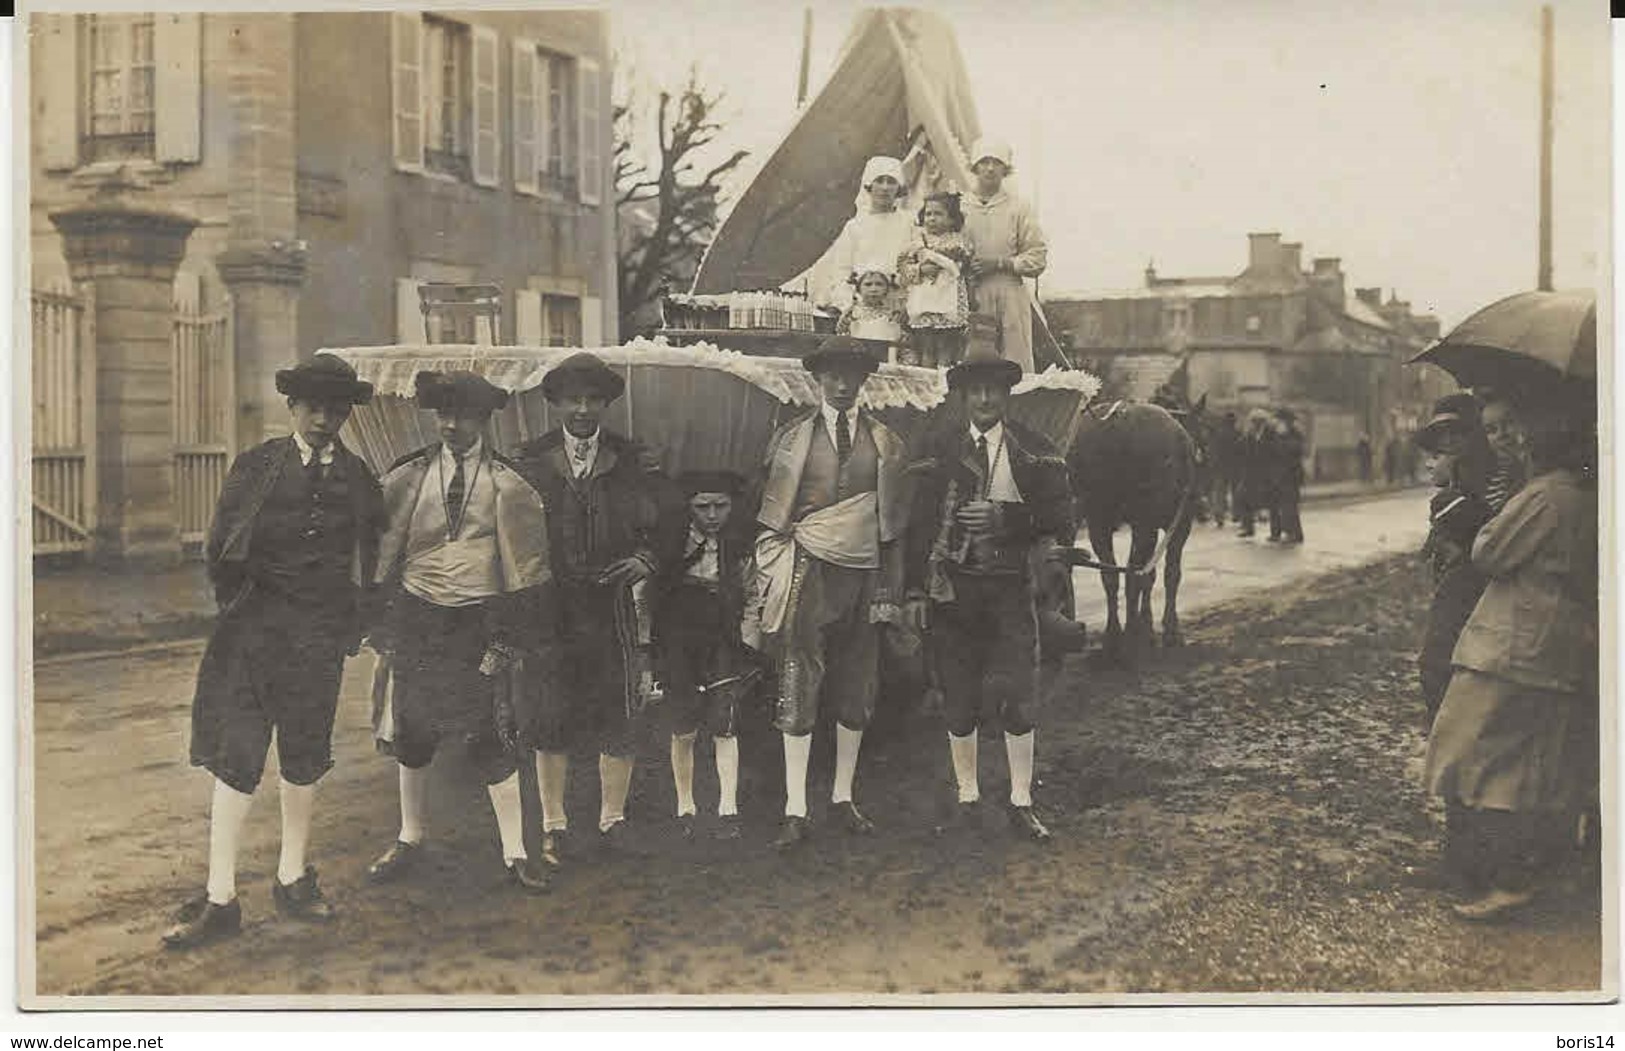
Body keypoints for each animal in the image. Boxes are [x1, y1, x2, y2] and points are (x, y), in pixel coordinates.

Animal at [1072, 399, 1202, 662]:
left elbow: (1151, 575)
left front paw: (1148, 626)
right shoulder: (1173, 524)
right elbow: (1162, 575)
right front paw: (1157, 628)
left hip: (1102, 518)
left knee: (1115, 574)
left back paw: (1116, 636)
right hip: (1137, 521)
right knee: (1132, 573)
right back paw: (1130, 635)